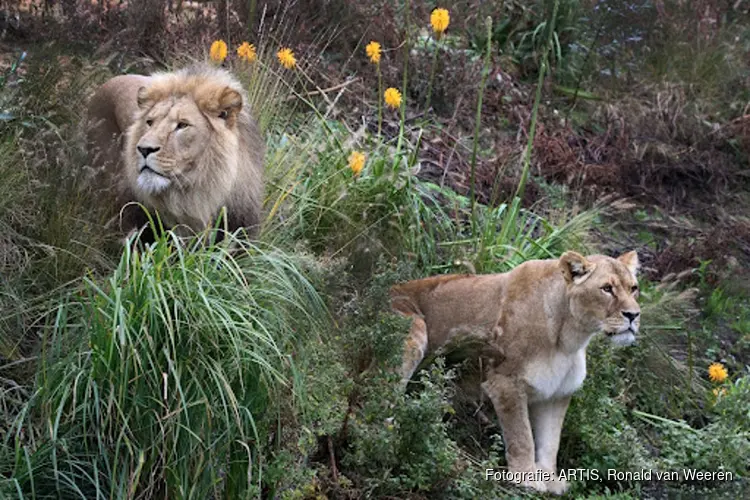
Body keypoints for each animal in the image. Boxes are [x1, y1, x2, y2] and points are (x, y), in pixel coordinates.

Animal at [390, 252, 644, 494]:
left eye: (633, 288)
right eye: (607, 288)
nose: (633, 315)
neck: (568, 339)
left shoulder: (557, 394)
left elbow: (551, 441)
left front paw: (550, 480)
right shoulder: (505, 382)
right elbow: (522, 437)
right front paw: (527, 479)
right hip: (415, 327)